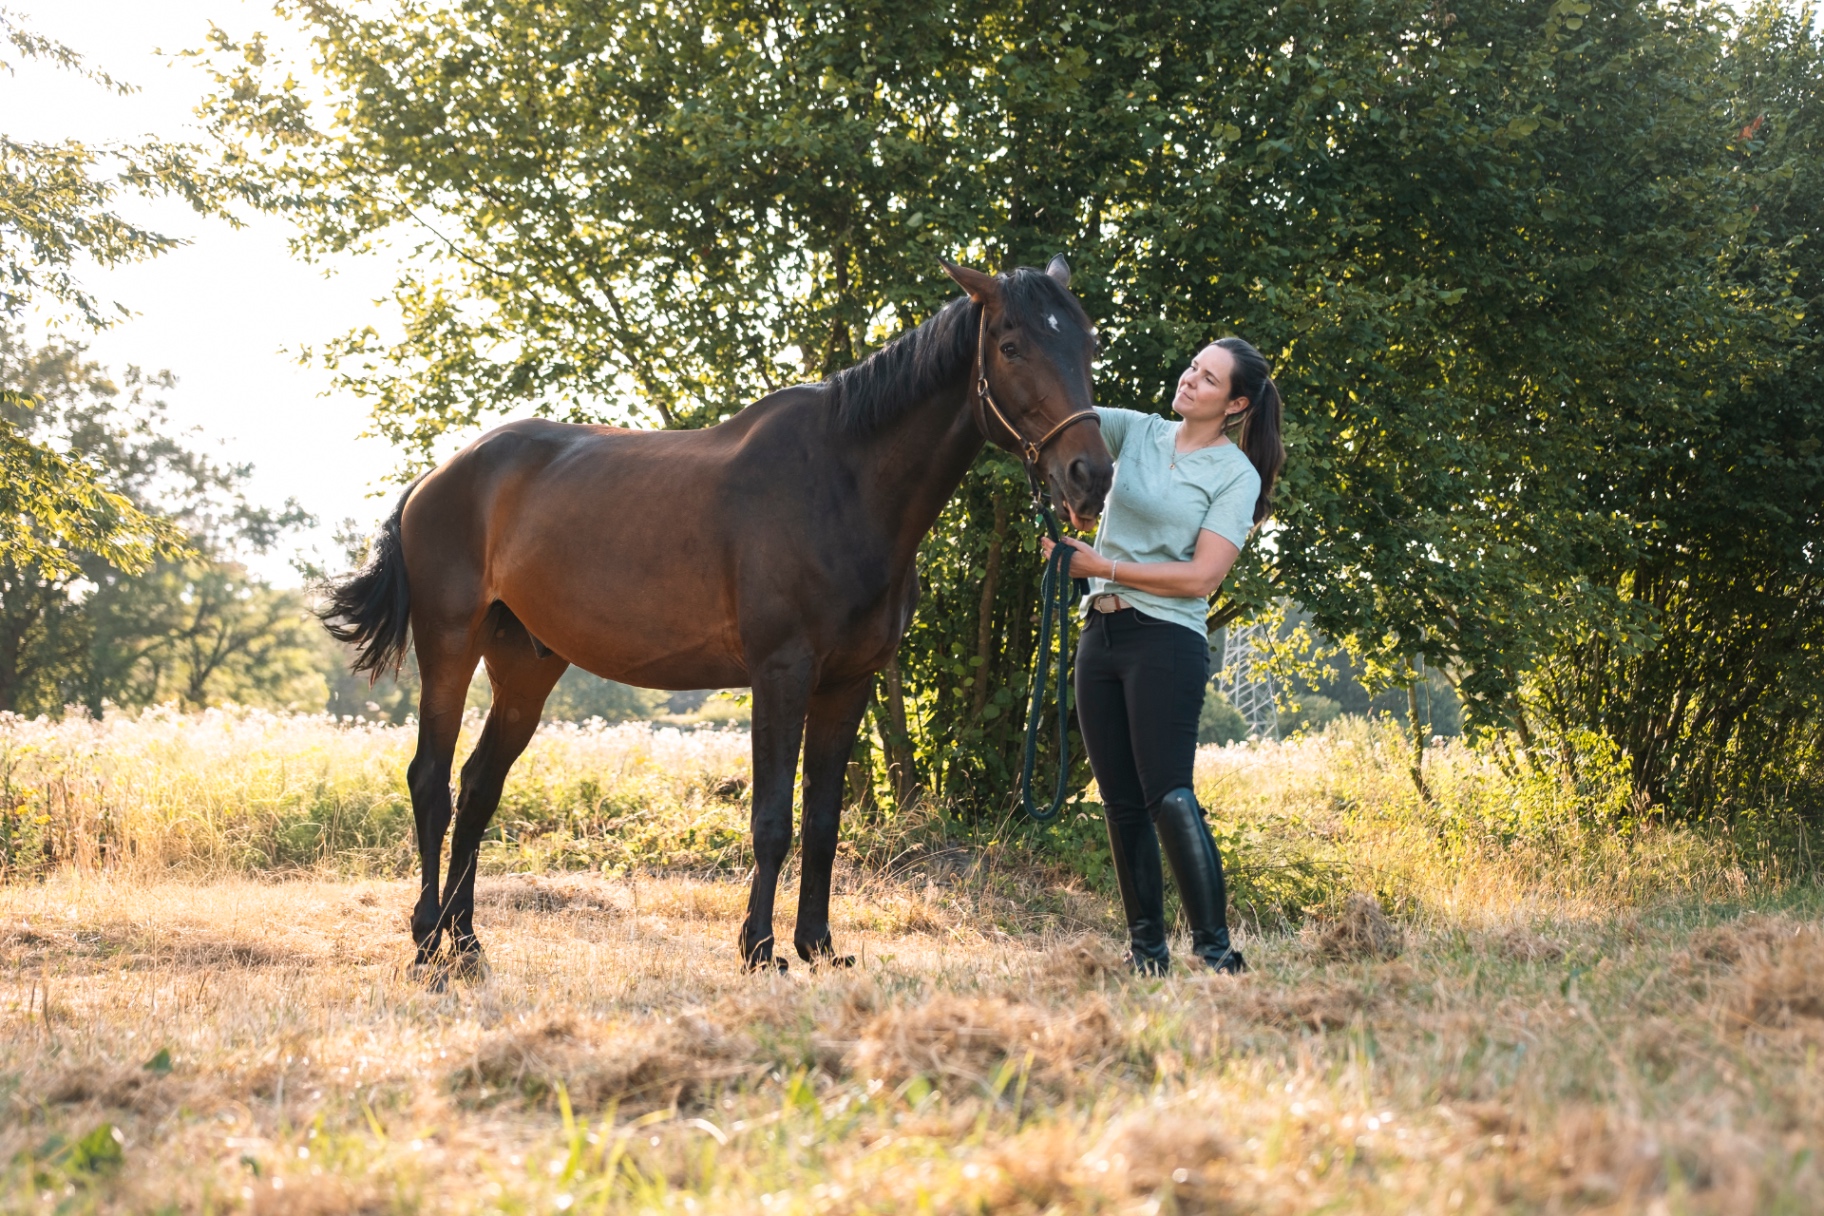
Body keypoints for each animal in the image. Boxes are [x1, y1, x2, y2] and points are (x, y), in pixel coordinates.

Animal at [320, 257, 1113, 972]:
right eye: (1011, 345)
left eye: (1086, 342)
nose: (1092, 476)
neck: (842, 483)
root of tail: (438, 476)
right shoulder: (781, 674)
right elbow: (772, 821)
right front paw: (760, 949)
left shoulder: (848, 684)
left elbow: (823, 821)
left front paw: (818, 946)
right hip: (450, 646)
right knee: (432, 780)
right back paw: (427, 939)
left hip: (525, 664)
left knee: (481, 786)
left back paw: (467, 942)